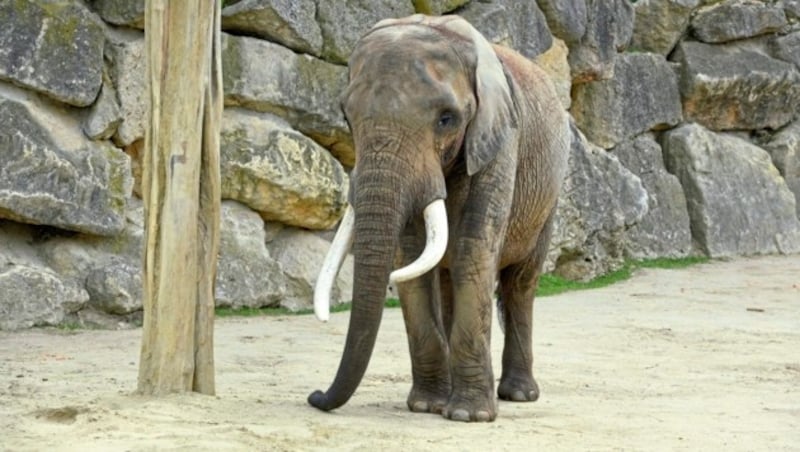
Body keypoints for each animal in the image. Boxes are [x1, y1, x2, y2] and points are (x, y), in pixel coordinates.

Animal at [306, 15, 568, 424]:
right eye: (346, 116)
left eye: (447, 119)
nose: (315, 396)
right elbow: (412, 260)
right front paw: (427, 406)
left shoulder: (499, 142)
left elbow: (473, 252)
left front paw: (469, 416)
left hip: (550, 192)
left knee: (520, 282)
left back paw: (519, 394)